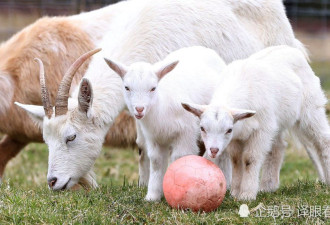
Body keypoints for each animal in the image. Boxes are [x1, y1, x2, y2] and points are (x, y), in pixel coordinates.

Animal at [16, 0, 310, 192]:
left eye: (71, 137)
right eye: (46, 140)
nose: (53, 182)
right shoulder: (140, 108)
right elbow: (141, 144)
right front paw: (144, 184)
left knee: (277, 140)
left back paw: (267, 186)